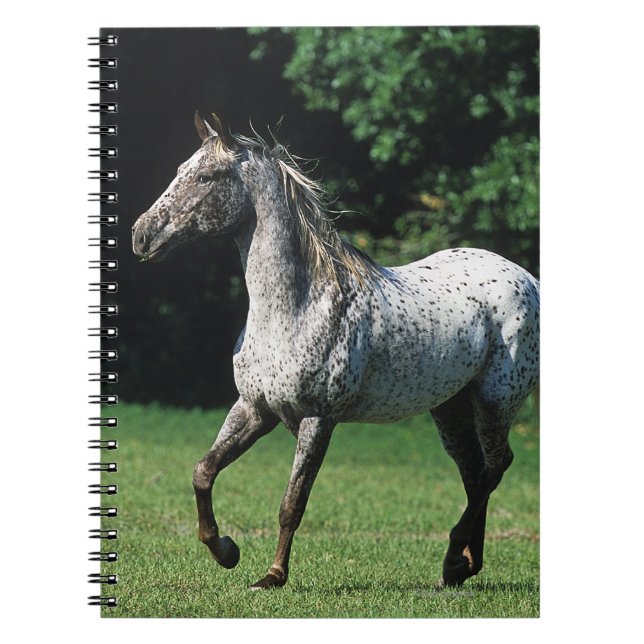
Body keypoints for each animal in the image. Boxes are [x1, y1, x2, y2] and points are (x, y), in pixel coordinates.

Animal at [132, 112, 540, 590]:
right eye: (181, 169)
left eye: (205, 176)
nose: (141, 235)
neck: (296, 306)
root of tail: (527, 279)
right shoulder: (254, 409)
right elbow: (203, 471)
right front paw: (226, 551)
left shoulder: (317, 420)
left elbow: (292, 503)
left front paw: (272, 576)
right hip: (451, 409)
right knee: (475, 473)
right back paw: (463, 565)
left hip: (496, 401)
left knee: (495, 467)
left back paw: (454, 560)